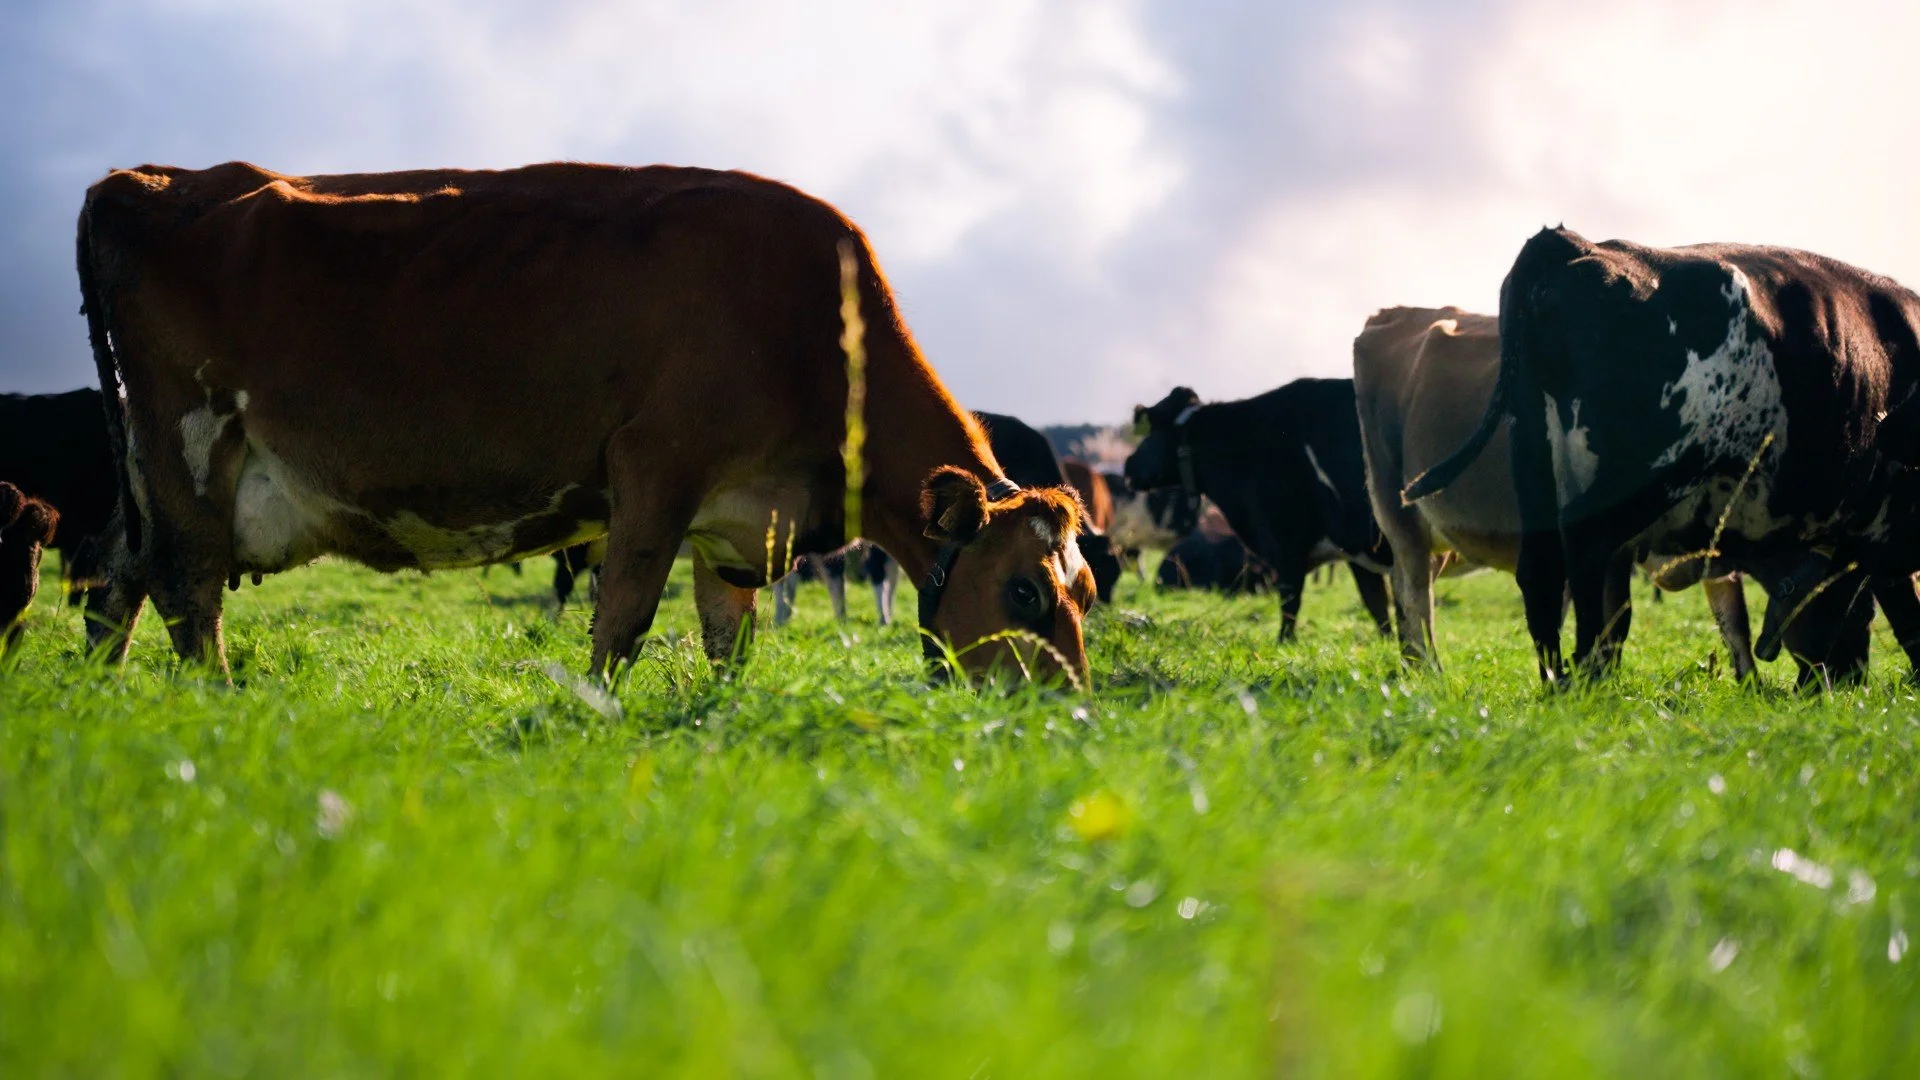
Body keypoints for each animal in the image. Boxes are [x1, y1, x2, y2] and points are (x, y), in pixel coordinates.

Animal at [76, 161, 1095, 685]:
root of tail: (152, 180)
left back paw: (99, 704)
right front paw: (596, 717)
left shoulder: (737, 522)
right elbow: (625, 616)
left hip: (148, 472)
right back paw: (212, 706)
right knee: (186, 592)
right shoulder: (655, 462)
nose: (1072, 714)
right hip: (193, 446)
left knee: (115, 584)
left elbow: (729, 639)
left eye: (1086, 590)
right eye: (1023, 593)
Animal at [1125, 380, 1393, 642]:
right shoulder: (1357, 551)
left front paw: (1285, 643)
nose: (1128, 465)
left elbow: (1290, 604)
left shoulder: (1285, 543)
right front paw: (1389, 644)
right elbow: (1378, 606)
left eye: (1151, 432)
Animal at [1403, 226, 1920, 684]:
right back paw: (1582, 677)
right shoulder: (1878, 526)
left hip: (1533, 464)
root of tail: (1574, 245)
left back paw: (1557, 682)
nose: (1848, 679)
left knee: (1543, 571)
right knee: (1584, 553)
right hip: (1643, 479)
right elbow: (1901, 612)